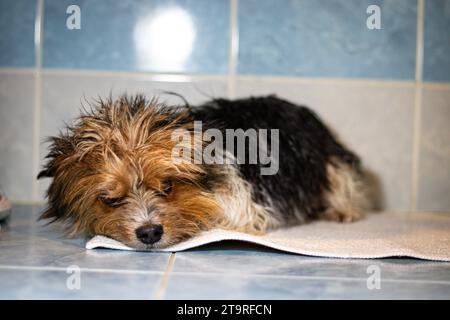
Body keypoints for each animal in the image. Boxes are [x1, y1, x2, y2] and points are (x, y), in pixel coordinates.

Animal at [38, 95, 370, 250]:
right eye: (110, 199)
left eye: (168, 185)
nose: (149, 233)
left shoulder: (243, 204)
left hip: (329, 160)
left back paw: (342, 210)